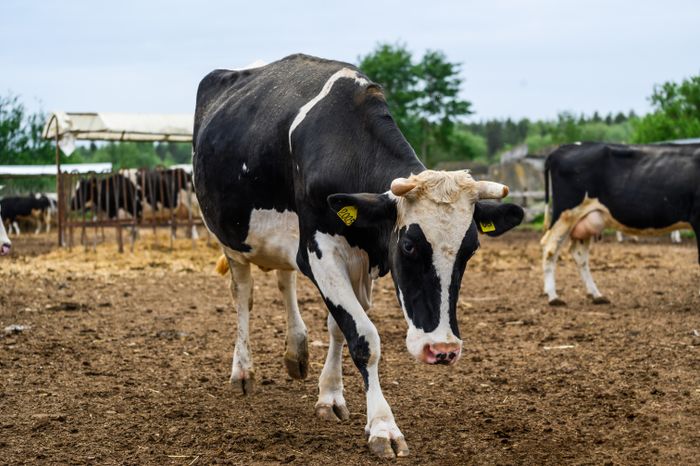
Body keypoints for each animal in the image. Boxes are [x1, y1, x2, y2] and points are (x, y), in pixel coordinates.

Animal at [193, 54, 524, 458]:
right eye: (409, 245)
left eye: (471, 248)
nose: (442, 348)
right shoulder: (319, 251)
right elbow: (364, 337)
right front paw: (383, 426)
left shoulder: (360, 263)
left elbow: (339, 325)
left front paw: (330, 395)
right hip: (229, 238)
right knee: (243, 294)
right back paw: (243, 371)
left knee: (284, 279)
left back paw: (296, 353)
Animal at [541, 142, 700, 306]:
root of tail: (563, 148)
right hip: (565, 215)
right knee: (550, 249)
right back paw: (553, 296)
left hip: (585, 220)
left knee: (579, 254)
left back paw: (596, 295)